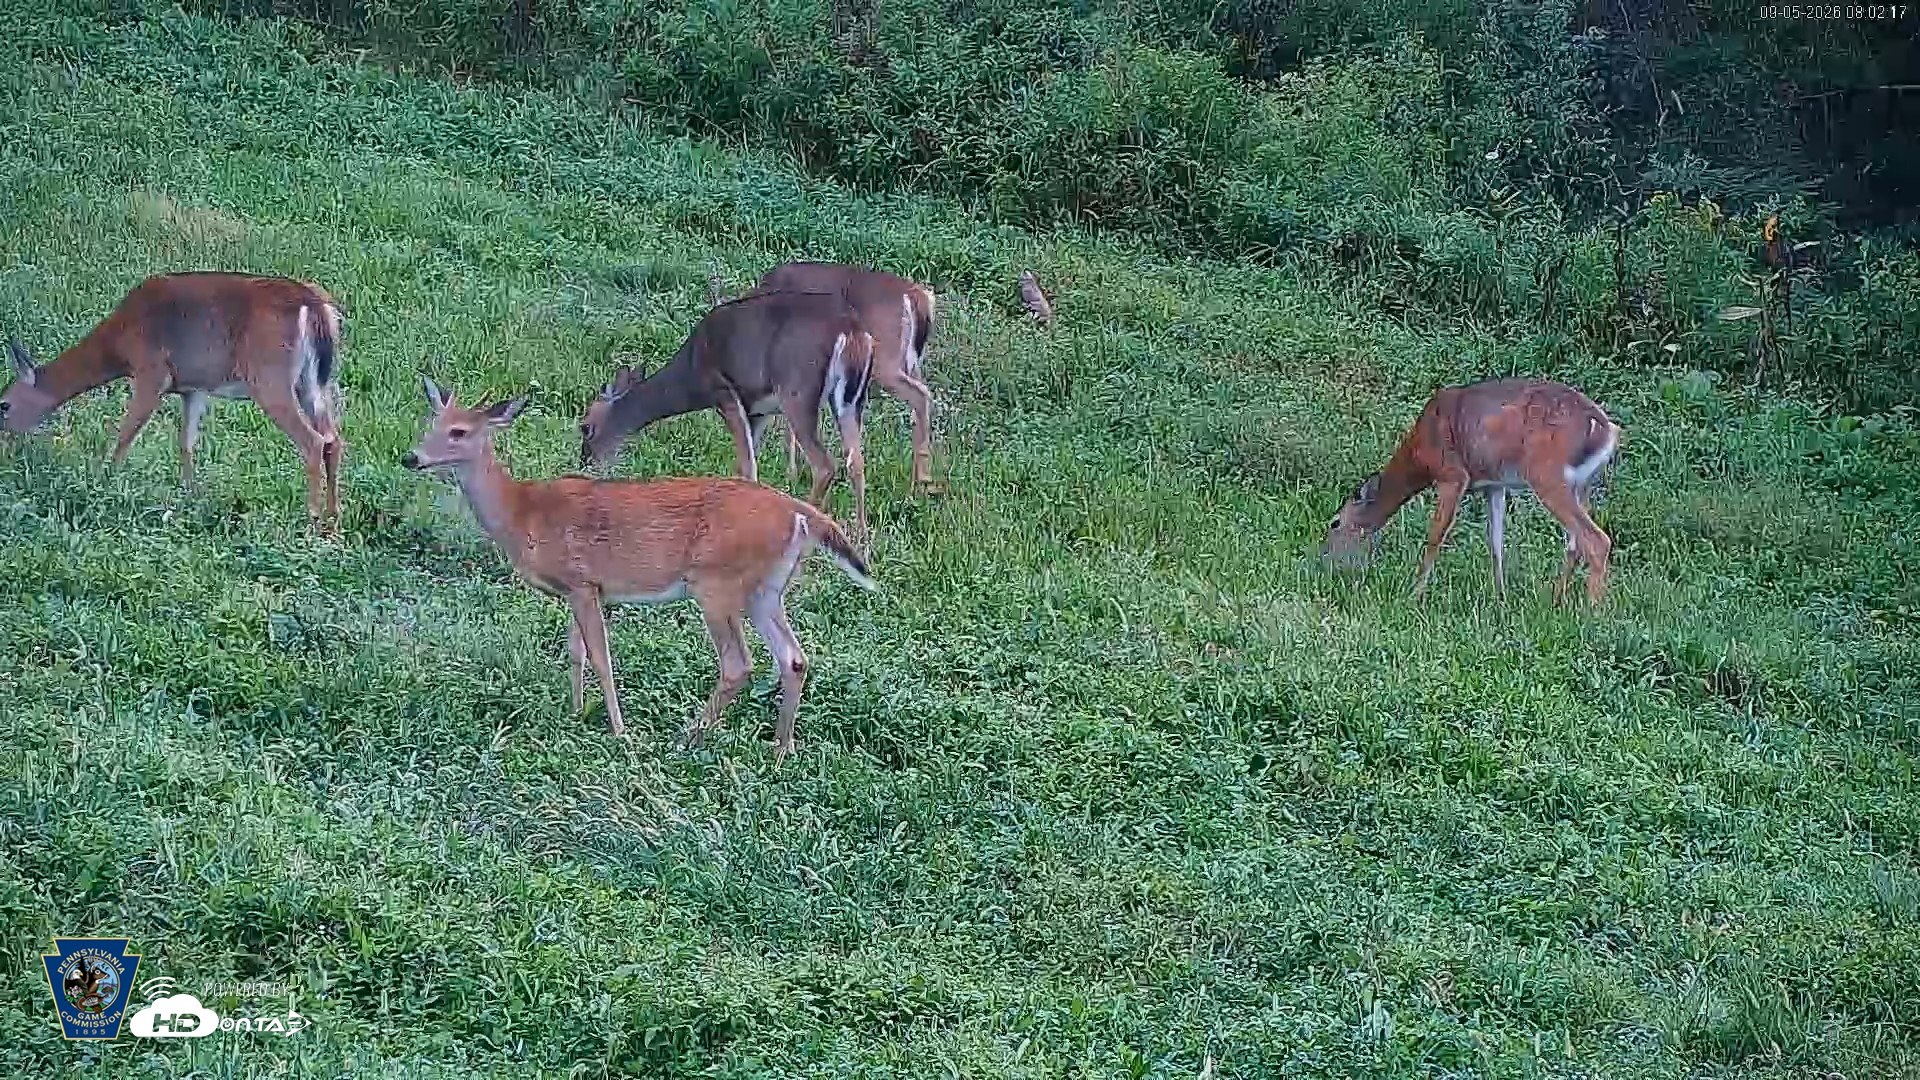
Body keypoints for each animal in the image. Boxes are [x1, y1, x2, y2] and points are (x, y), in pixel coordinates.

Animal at [2, 272, 345, 531]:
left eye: (3, 405)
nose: (5, 447)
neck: (118, 343)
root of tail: (315, 306)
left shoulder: (151, 371)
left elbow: (126, 434)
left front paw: (103, 482)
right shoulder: (193, 387)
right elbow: (186, 442)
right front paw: (190, 494)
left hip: (270, 376)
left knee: (313, 440)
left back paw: (312, 516)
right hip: (314, 382)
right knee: (333, 438)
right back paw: (333, 517)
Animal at [404, 377, 877, 760]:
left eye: (459, 431)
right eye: (432, 423)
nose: (411, 458)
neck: (522, 514)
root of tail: (799, 513)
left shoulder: (582, 582)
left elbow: (601, 658)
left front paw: (619, 731)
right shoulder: (581, 589)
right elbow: (576, 652)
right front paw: (576, 713)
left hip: (717, 581)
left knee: (738, 663)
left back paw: (686, 738)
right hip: (767, 588)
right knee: (793, 658)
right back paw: (780, 749)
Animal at [579, 289, 876, 545]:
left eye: (585, 427)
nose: (585, 462)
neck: (691, 377)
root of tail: (852, 331)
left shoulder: (725, 393)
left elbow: (747, 467)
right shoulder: (758, 410)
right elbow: (746, 464)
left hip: (797, 391)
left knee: (824, 465)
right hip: (851, 400)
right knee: (856, 460)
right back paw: (862, 537)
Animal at [750, 262, 942, 494]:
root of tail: (916, 296)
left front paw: (791, 476)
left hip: (885, 360)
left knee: (920, 395)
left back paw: (921, 481)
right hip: (910, 362)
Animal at [1322, 378, 1622, 604]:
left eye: (1335, 522)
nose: (1324, 558)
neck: (1421, 452)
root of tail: (1604, 429)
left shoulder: (1452, 475)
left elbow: (1435, 536)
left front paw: (1413, 594)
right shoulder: (1494, 484)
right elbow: (1496, 542)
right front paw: (1500, 597)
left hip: (1546, 474)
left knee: (1595, 539)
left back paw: (1591, 613)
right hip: (1582, 484)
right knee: (1575, 543)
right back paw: (1556, 601)